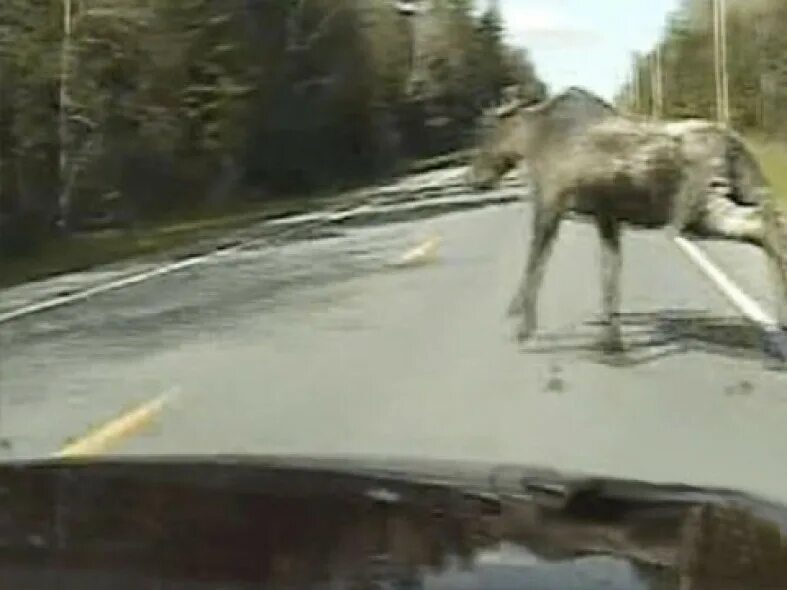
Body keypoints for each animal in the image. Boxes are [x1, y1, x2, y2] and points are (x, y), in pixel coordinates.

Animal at [468, 88, 787, 356]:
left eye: (487, 133)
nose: (474, 178)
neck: (533, 140)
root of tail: (737, 146)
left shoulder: (550, 204)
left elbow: (535, 263)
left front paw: (522, 325)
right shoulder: (606, 217)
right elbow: (610, 273)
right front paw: (612, 338)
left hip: (699, 210)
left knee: (763, 225)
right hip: (737, 192)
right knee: (768, 222)